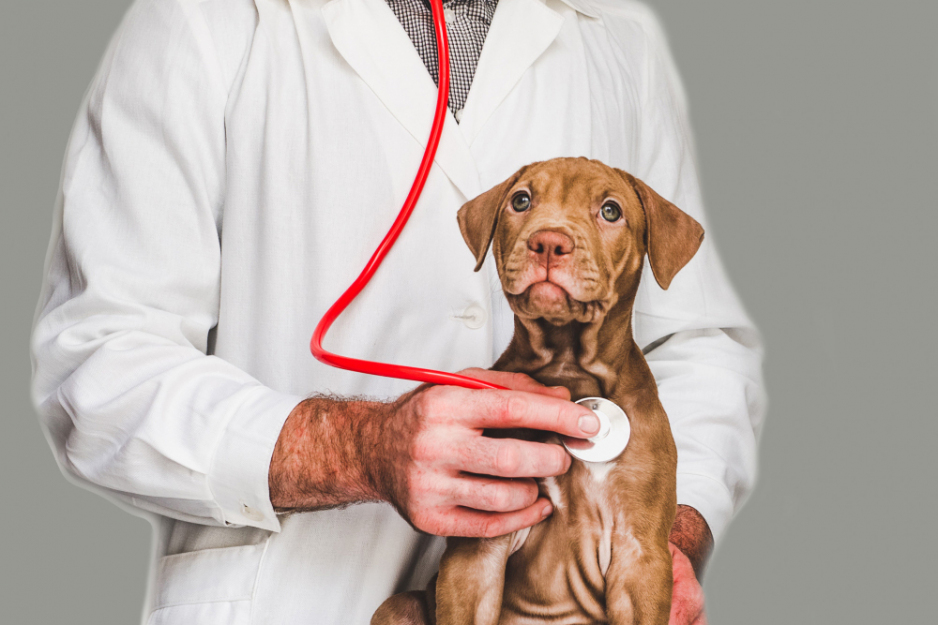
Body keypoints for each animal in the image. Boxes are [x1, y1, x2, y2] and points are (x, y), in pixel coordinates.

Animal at [372, 157, 704, 624]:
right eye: (521, 200)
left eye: (611, 211)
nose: (548, 242)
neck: (568, 366)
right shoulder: (479, 547)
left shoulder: (640, 556)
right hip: (400, 605)